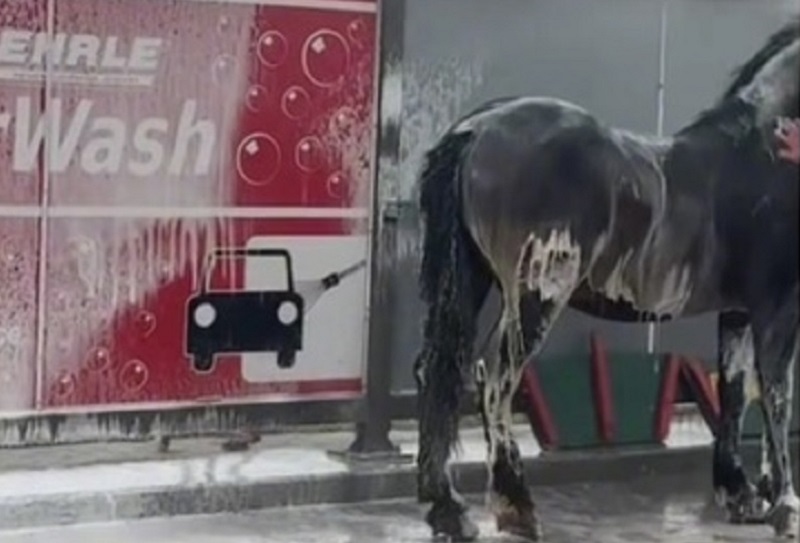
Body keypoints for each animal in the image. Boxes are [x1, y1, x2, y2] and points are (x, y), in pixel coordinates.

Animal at [413, 16, 799, 541]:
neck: (768, 150)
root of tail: (476, 130)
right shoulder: (777, 309)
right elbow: (778, 397)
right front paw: (785, 506)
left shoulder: (738, 312)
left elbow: (737, 394)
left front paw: (741, 495)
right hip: (536, 293)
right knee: (495, 377)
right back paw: (517, 507)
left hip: (469, 281)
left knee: (439, 372)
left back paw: (449, 509)